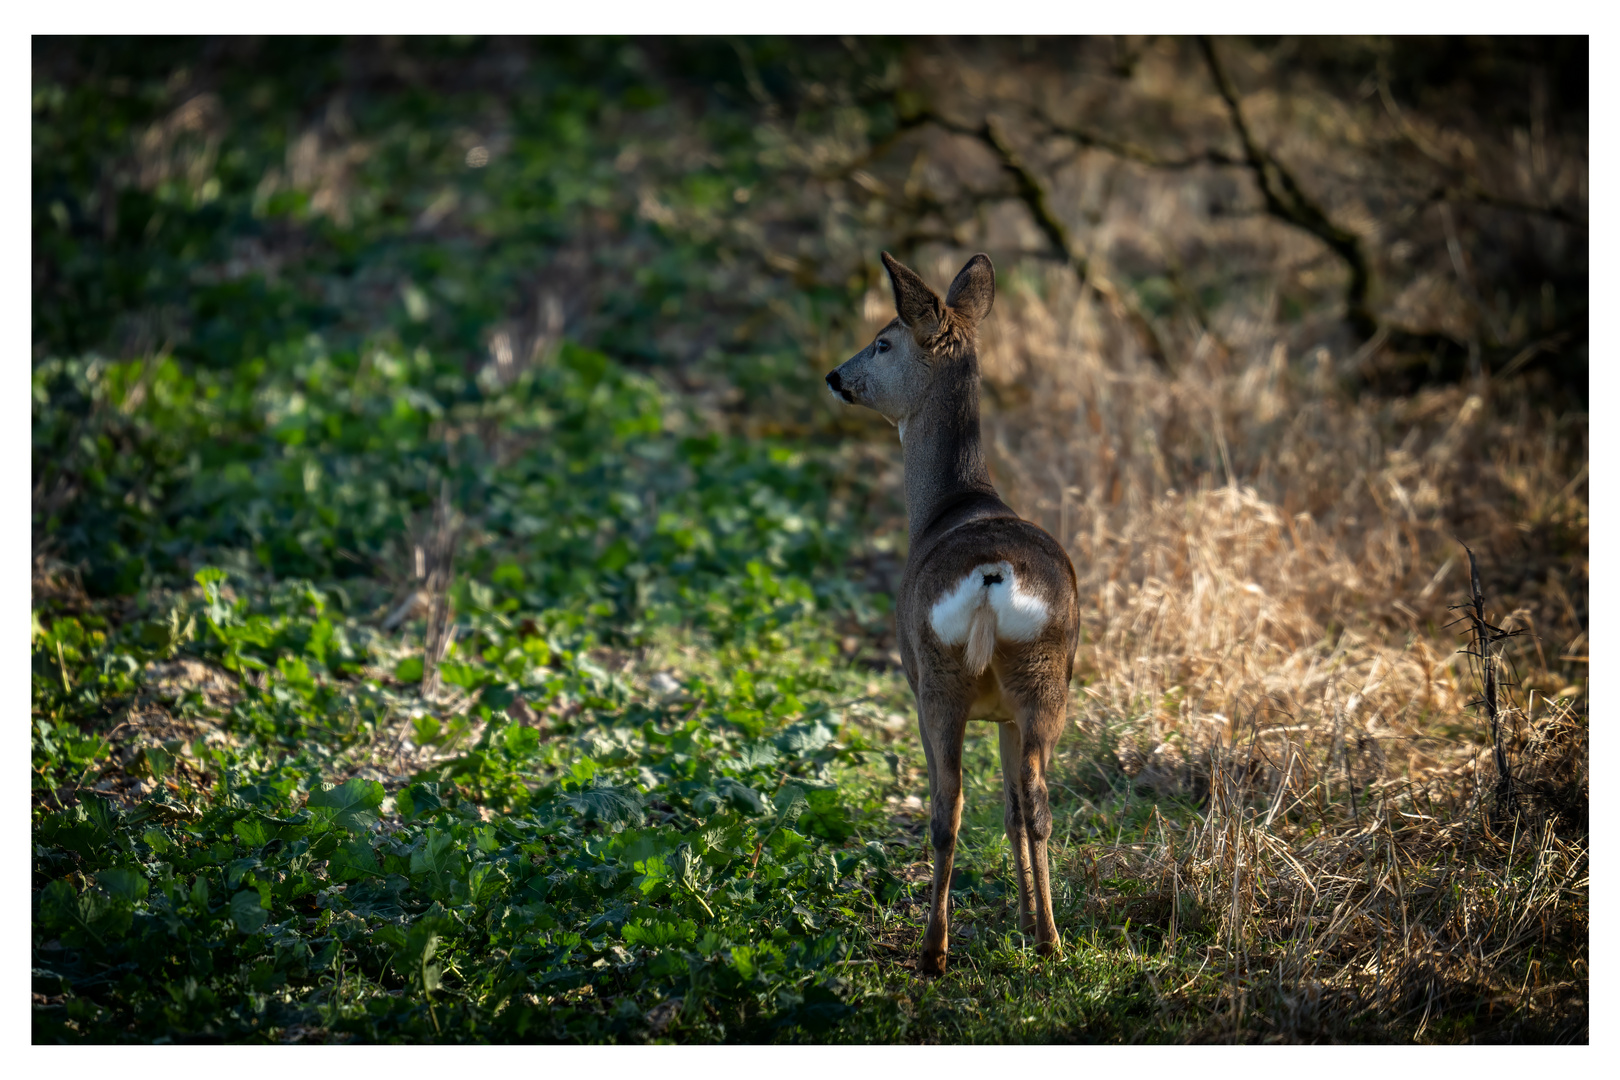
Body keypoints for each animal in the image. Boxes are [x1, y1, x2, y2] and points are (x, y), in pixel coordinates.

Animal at [829, 254, 1082, 977]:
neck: (949, 503)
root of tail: (993, 575)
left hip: (937, 677)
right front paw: (1027, 921)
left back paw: (933, 950)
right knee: (1037, 800)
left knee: (948, 810)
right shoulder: (1005, 714)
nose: (836, 377)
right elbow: (1014, 809)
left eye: (884, 341)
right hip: (1044, 675)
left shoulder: (918, 683)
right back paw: (1051, 941)